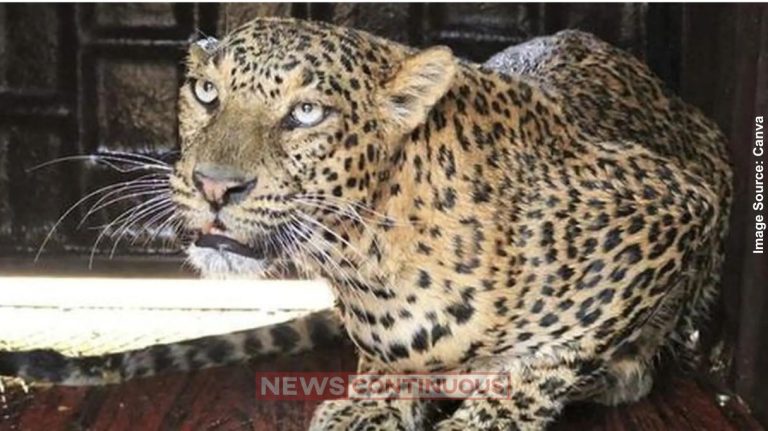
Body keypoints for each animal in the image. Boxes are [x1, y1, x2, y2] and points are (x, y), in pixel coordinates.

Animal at [1, 17, 732, 430]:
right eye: (206, 93)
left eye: (306, 114)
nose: (214, 185)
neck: (366, 257)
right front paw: (375, 400)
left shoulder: (674, 205)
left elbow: (545, 362)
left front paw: (484, 418)